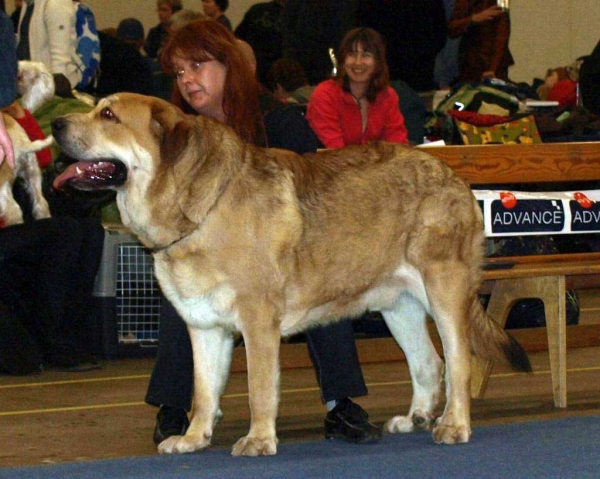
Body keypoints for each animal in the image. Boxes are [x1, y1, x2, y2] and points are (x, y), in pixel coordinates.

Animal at [51, 93, 528, 458]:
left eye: (108, 116)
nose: (55, 124)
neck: (199, 211)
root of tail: (454, 176)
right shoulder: (204, 326)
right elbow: (204, 392)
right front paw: (193, 439)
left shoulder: (258, 322)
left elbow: (260, 388)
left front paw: (259, 440)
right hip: (399, 306)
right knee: (429, 363)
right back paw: (415, 419)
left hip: (443, 292)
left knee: (458, 362)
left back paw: (454, 425)